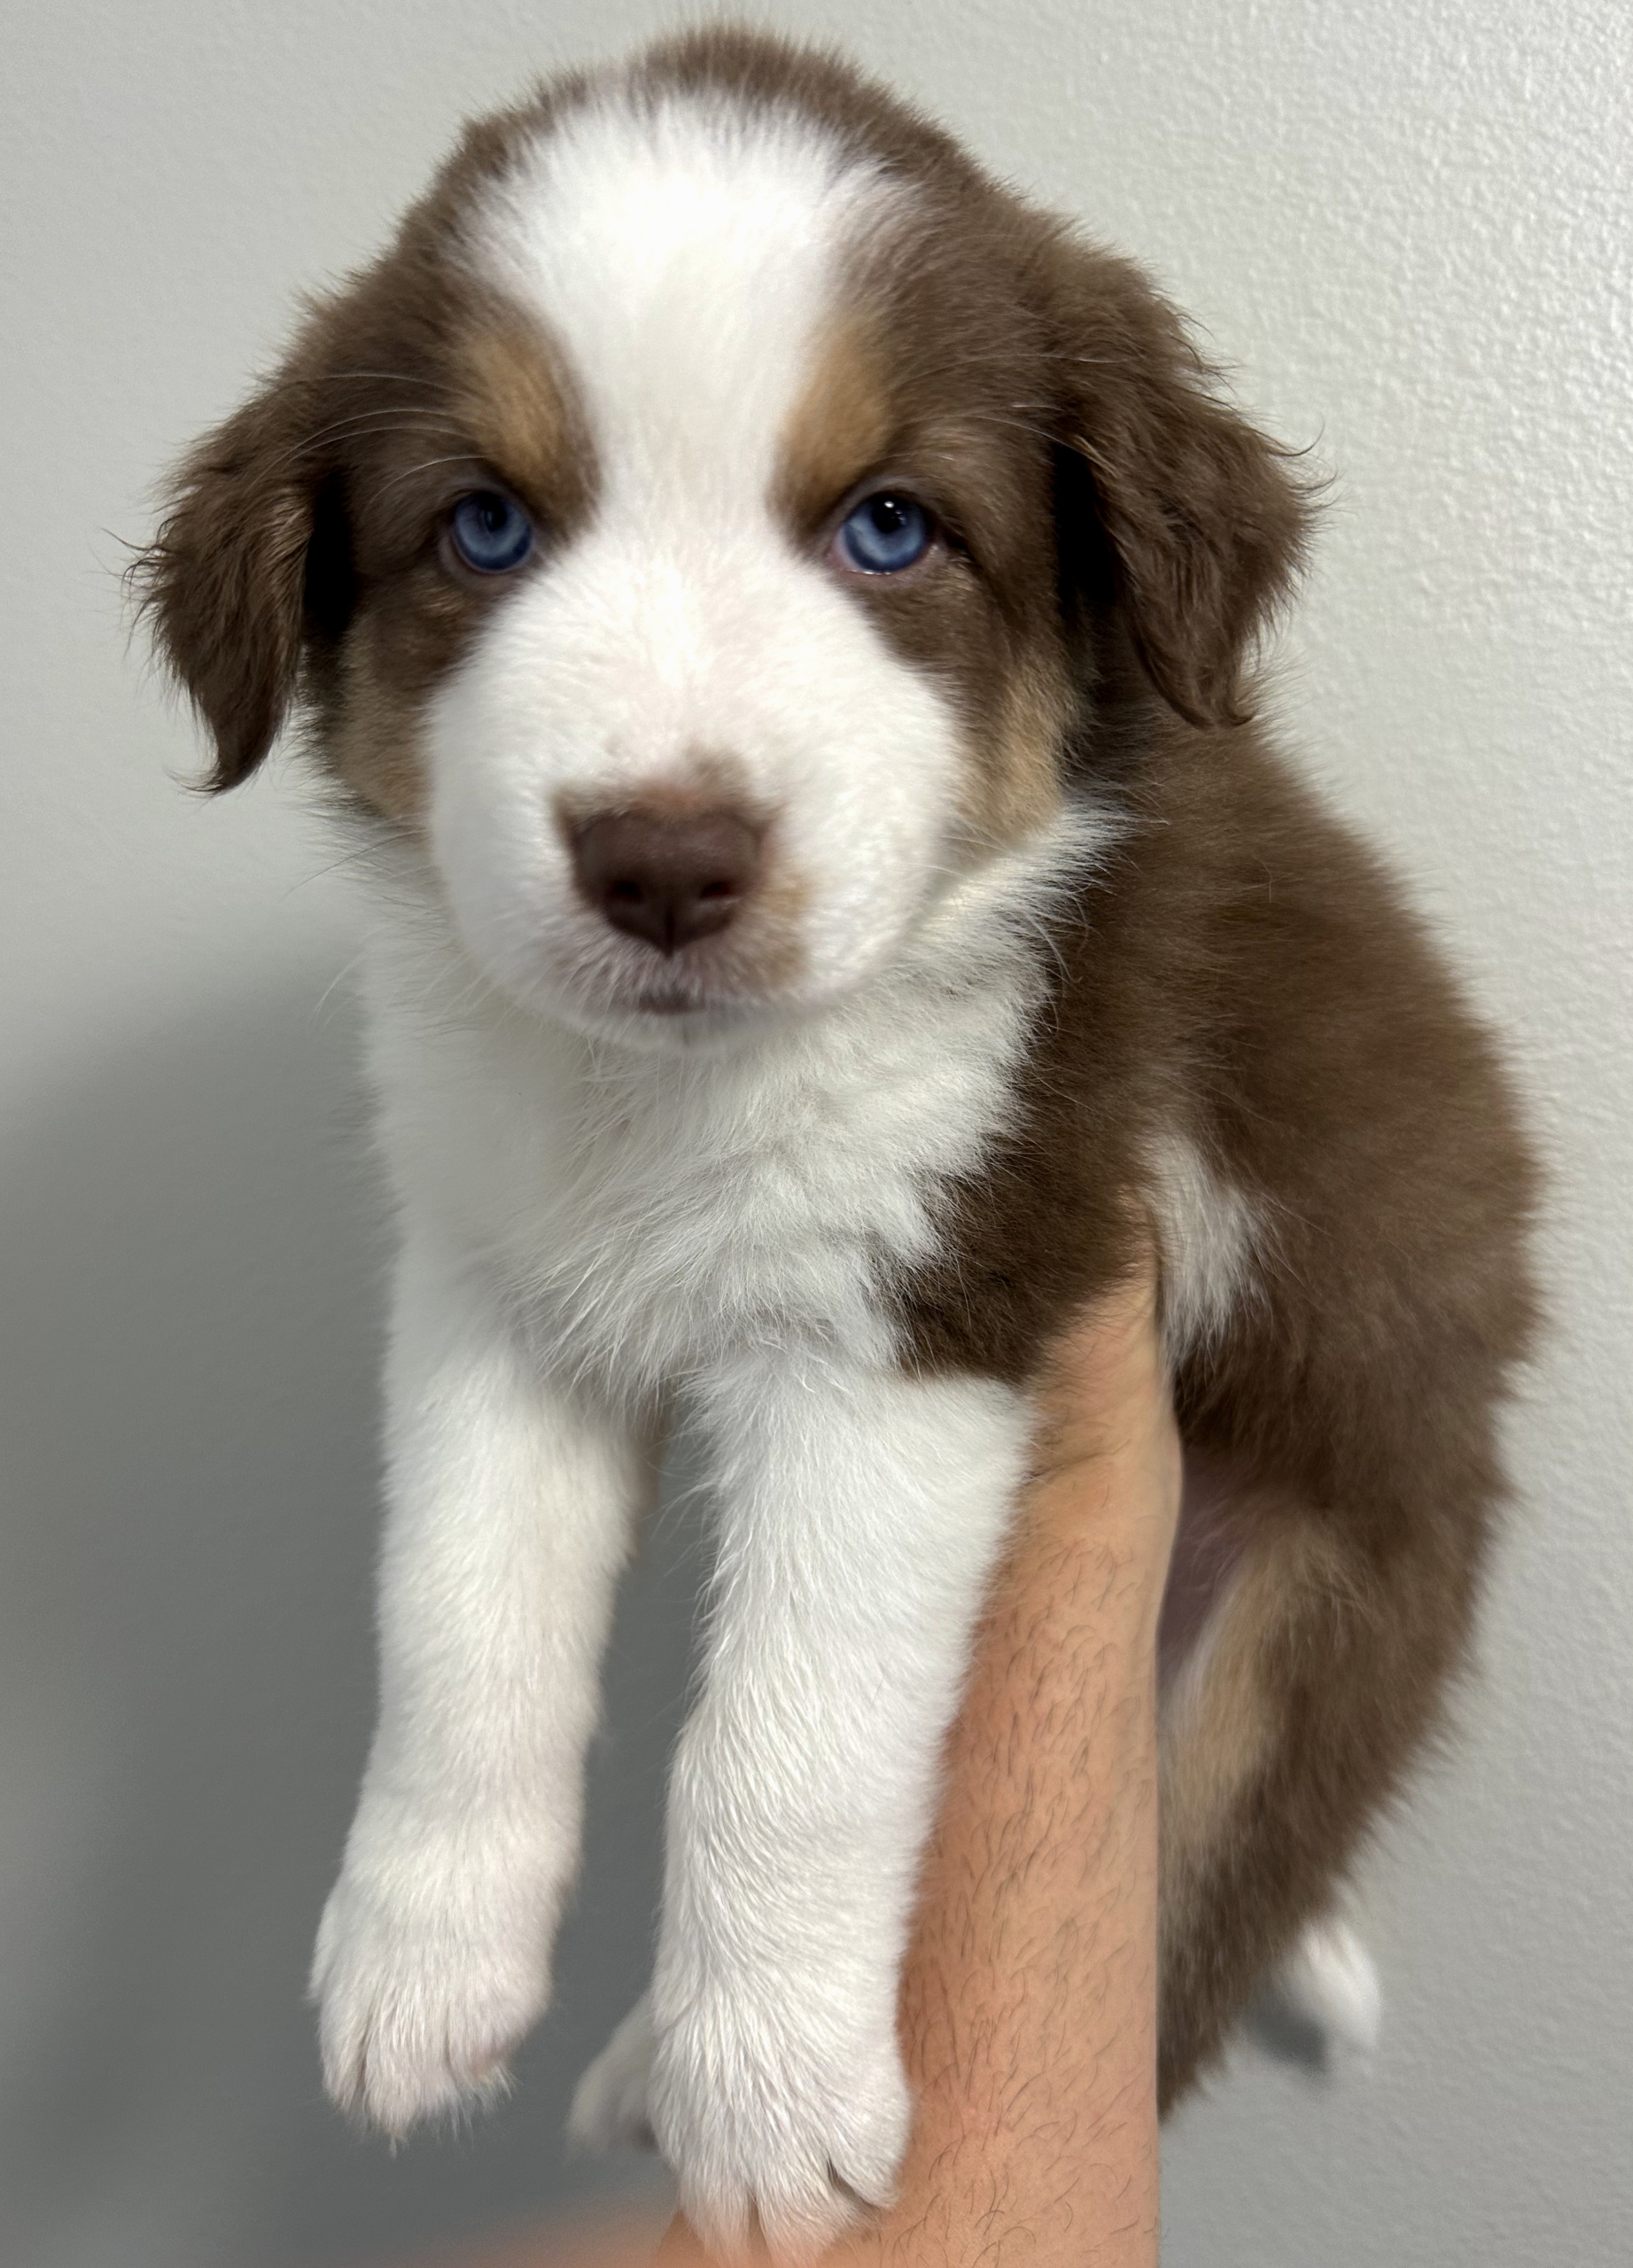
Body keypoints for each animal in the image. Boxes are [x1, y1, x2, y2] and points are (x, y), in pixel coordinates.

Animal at [134, 27, 1533, 2258]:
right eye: (482, 527)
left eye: (892, 529)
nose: (661, 859)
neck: (672, 1092)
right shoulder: (492, 1278)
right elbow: (454, 1614)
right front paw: (419, 1960)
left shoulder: (934, 1293)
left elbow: (784, 1735)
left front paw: (770, 2087)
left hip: (1306, 1614)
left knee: (1183, 1945)